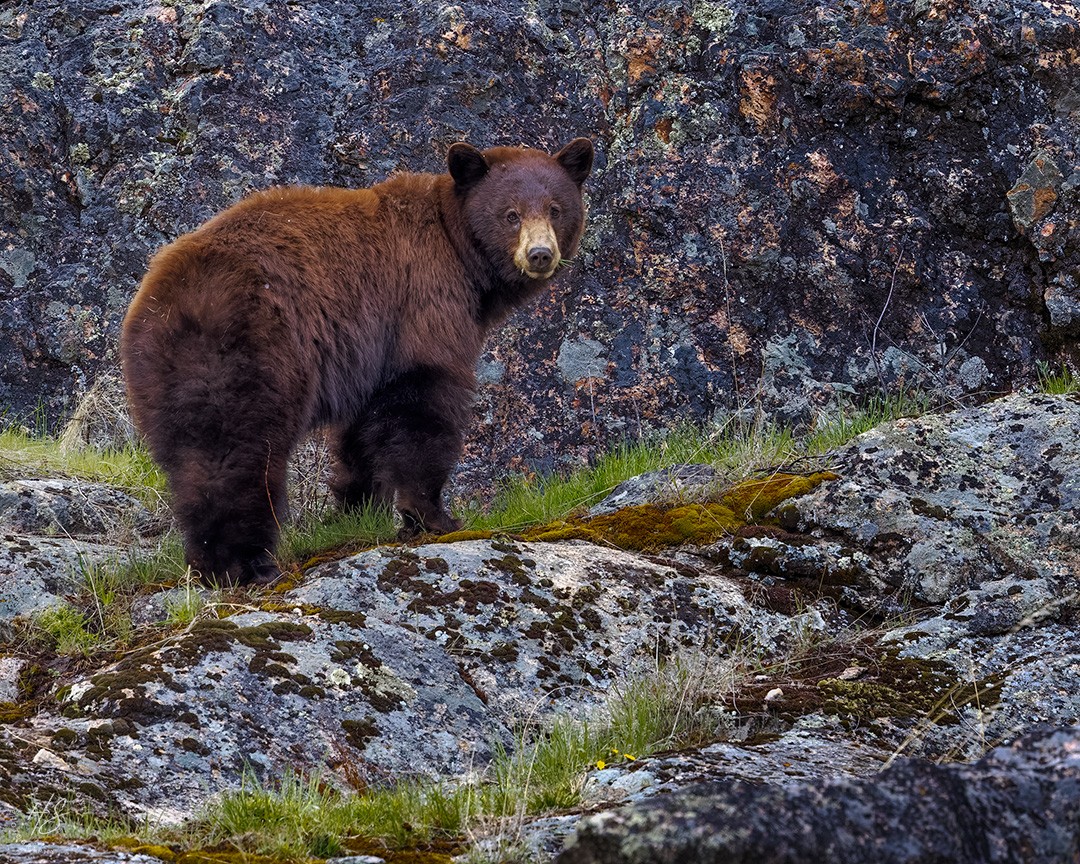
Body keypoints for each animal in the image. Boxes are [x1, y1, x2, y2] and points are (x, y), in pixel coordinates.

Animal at [122, 140, 596, 587]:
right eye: (511, 214)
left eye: (555, 209)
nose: (540, 254)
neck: (457, 248)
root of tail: (164, 300)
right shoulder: (422, 301)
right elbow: (425, 403)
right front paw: (434, 515)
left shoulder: (368, 353)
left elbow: (363, 432)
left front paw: (358, 508)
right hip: (253, 348)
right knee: (241, 451)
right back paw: (248, 565)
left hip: (170, 374)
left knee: (196, 459)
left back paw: (208, 562)